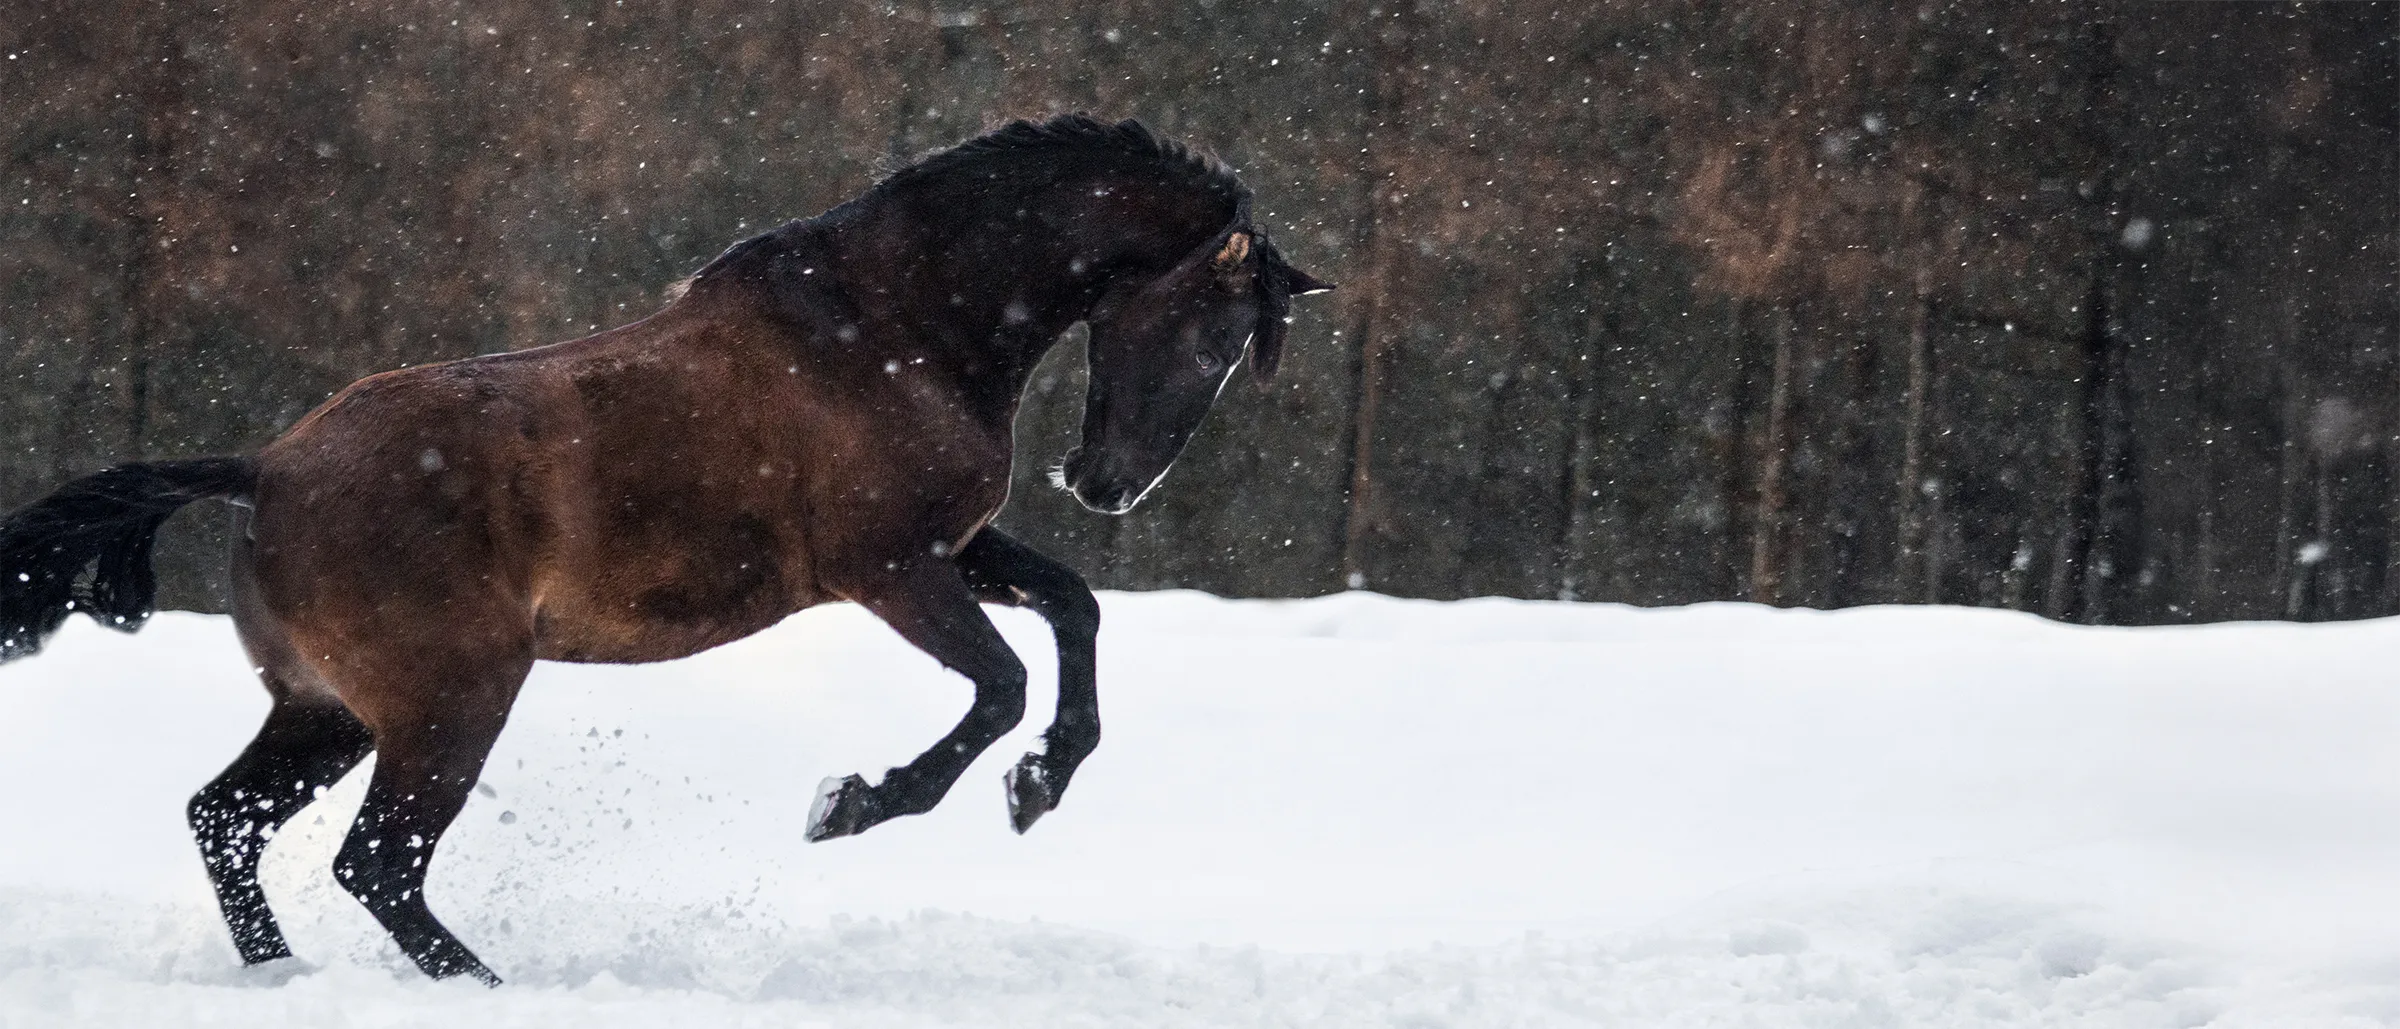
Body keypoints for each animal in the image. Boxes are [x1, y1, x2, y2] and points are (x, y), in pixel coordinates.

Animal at [0, 114, 1330, 985]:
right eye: (1217, 332)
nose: (1107, 486)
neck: (895, 322)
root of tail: (266, 469)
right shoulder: (886, 570)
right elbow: (1001, 682)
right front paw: (855, 803)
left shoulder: (953, 548)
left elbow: (1075, 609)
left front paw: (1040, 787)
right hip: (448, 704)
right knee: (375, 865)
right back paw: (483, 989)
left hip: (327, 710)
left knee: (227, 820)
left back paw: (287, 982)